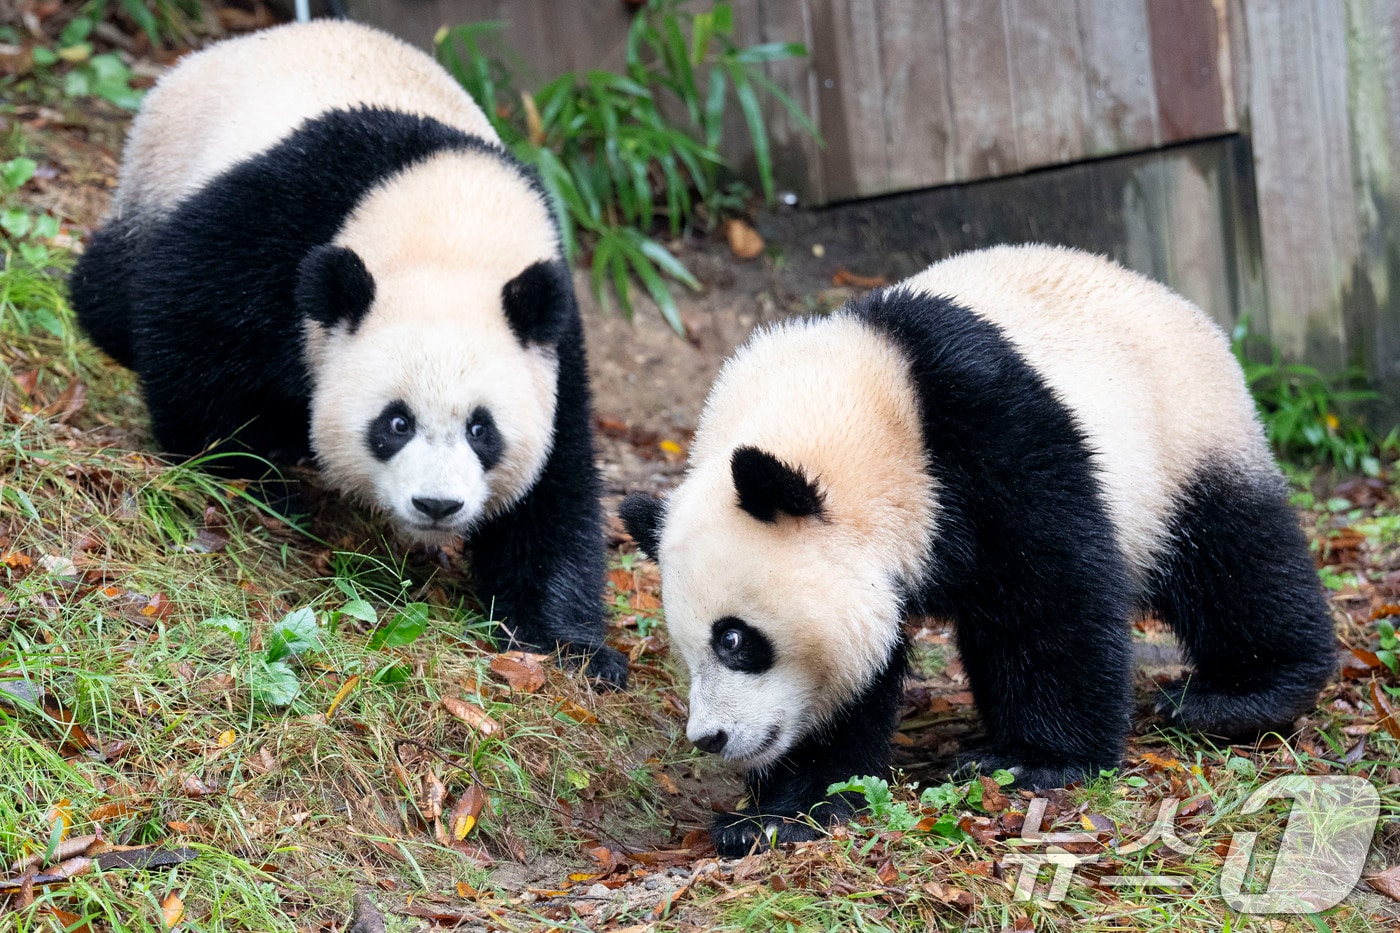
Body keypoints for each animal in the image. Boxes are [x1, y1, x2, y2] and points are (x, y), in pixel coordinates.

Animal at [69, 16, 630, 683]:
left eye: (481, 430)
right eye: (395, 422)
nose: (436, 504)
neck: (453, 229)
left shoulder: (552, 341)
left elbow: (555, 491)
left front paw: (573, 648)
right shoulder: (289, 219)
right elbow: (187, 318)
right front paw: (247, 475)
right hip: (162, 173)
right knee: (111, 288)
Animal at [624, 240, 1332, 851]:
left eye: (734, 639)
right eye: (687, 649)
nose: (710, 738)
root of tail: (1166, 294)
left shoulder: (988, 435)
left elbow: (1049, 595)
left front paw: (1036, 760)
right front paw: (779, 813)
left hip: (1184, 433)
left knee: (1234, 556)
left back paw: (1238, 697)